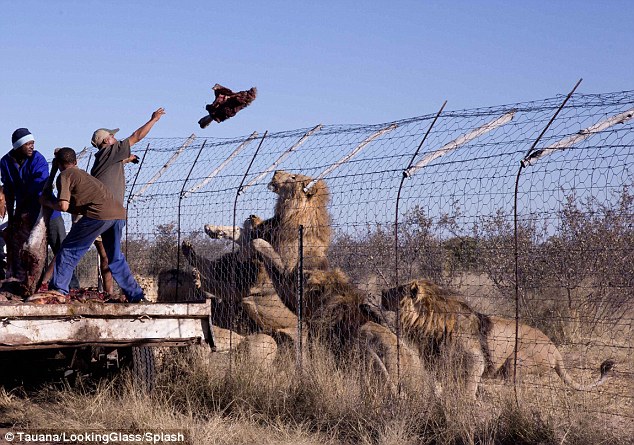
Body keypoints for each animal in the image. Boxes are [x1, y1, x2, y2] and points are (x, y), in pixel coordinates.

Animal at [378, 280, 616, 398]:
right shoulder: (435, 362)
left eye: (396, 291)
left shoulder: (475, 361)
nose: (380, 292)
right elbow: (436, 386)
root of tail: (557, 352)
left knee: (514, 388)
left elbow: (468, 389)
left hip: (517, 361)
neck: (427, 320)